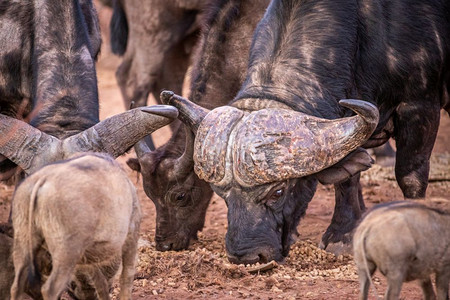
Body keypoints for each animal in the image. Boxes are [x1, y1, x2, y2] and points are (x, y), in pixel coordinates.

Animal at [162, 0, 450, 264]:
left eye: (278, 192)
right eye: (221, 194)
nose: (246, 256)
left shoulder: (419, 105)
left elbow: (410, 176)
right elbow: (347, 178)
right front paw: (342, 234)